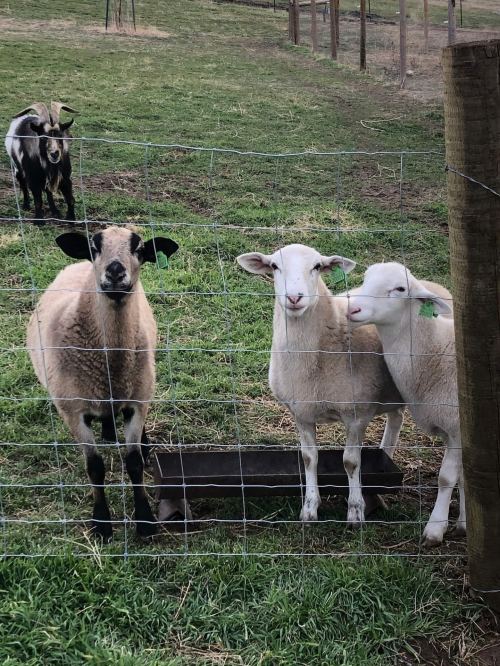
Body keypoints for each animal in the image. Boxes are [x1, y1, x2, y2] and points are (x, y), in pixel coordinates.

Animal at [26, 226, 179, 540]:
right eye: (95, 247)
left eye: (139, 249)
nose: (115, 271)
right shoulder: (73, 411)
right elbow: (94, 468)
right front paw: (102, 523)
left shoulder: (137, 401)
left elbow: (133, 463)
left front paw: (144, 520)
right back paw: (108, 432)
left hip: (141, 384)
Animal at [237, 243, 405, 526]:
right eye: (274, 266)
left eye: (317, 266)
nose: (294, 298)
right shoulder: (302, 413)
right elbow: (309, 458)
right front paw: (309, 508)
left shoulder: (356, 415)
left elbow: (351, 462)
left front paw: (355, 510)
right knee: (396, 419)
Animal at [347, 262, 462, 546]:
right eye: (365, 278)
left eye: (400, 289)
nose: (352, 308)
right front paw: (463, 524)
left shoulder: (457, 427)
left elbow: (447, 477)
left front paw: (435, 528)